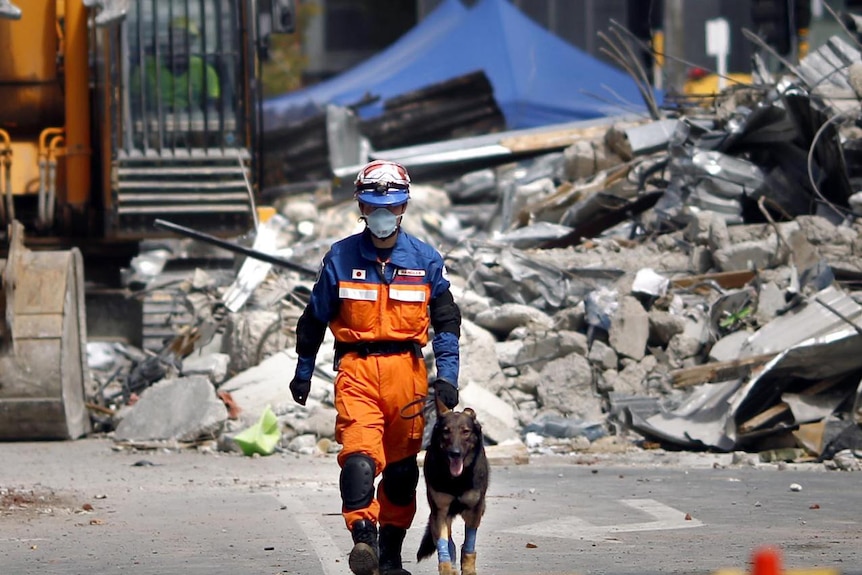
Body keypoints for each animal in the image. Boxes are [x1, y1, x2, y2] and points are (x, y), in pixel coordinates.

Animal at [420, 400, 492, 575]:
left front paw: (468, 568)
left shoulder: (474, 511)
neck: (457, 480)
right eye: (446, 431)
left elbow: (469, 544)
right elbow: (444, 543)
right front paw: (446, 568)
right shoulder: (440, 512)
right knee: (448, 540)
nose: (455, 453)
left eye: (465, 432)